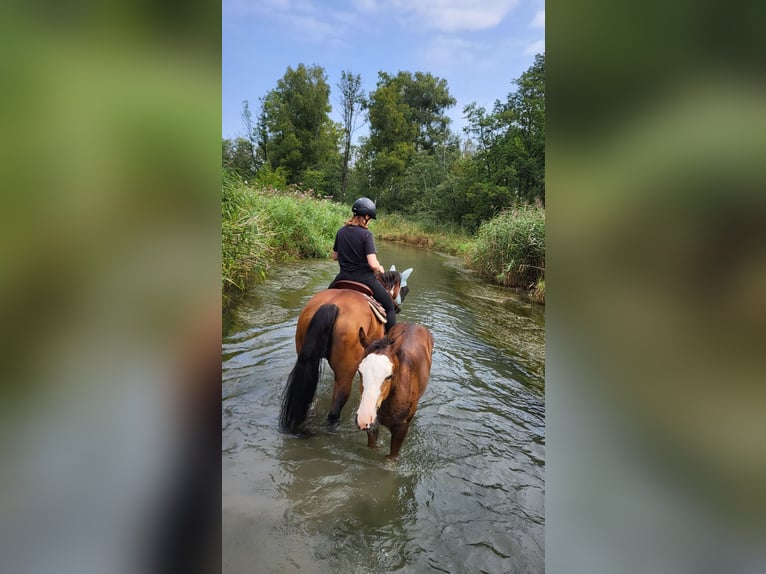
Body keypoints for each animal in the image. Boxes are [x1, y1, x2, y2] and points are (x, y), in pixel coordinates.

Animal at [355, 322, 434, 459]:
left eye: (389, 376)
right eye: (360, 371)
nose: (363, 418)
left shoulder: (401, 430)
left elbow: (391, 457)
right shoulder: (373, 425)